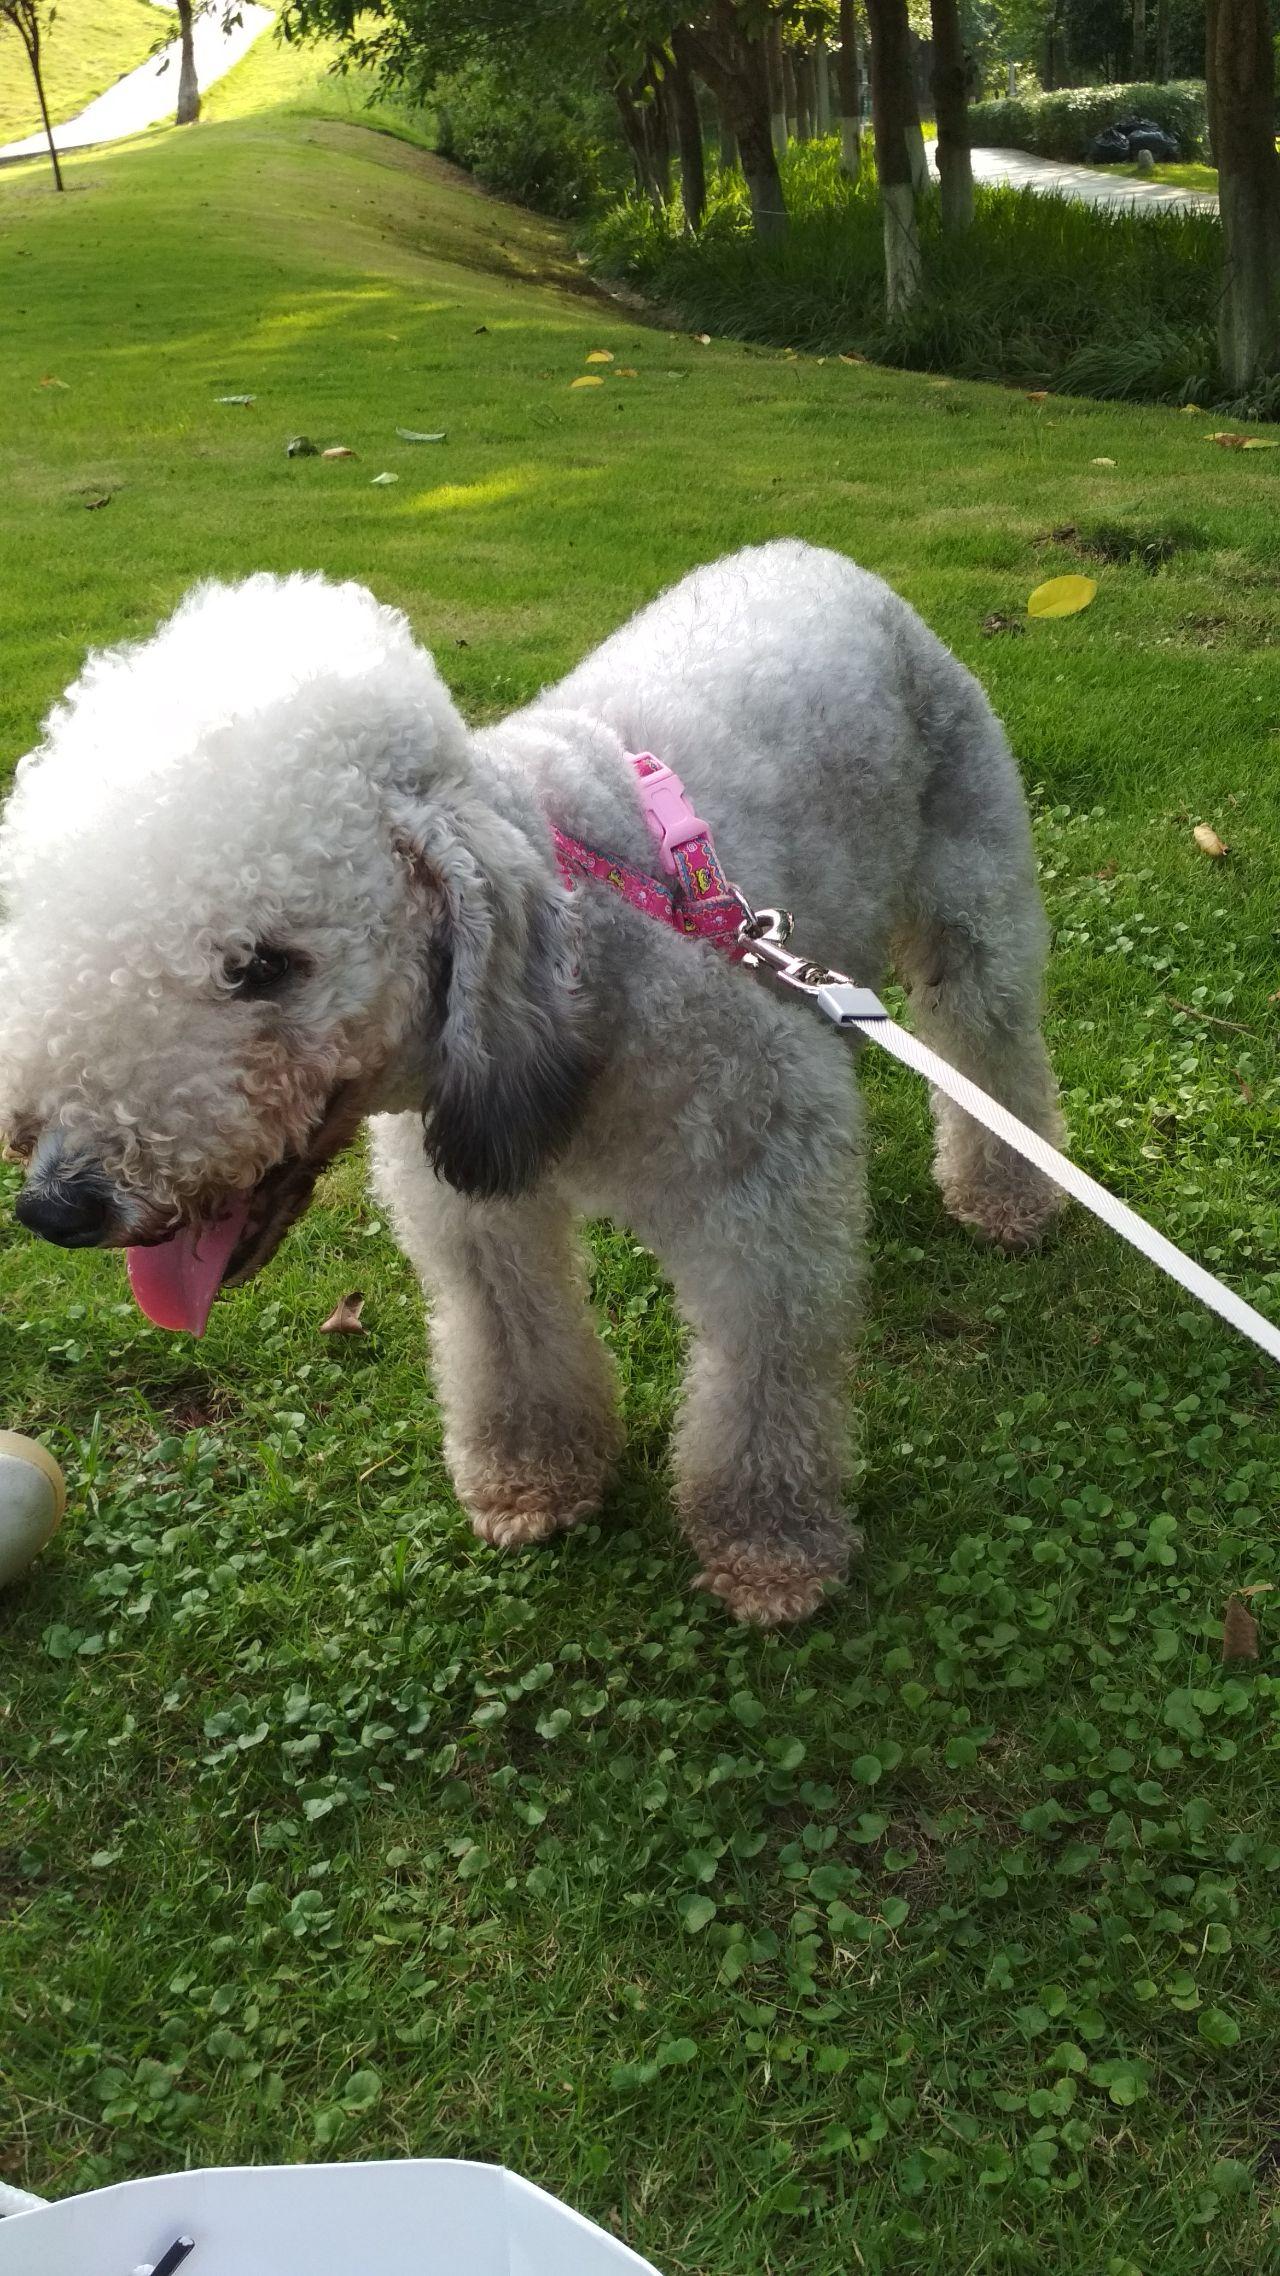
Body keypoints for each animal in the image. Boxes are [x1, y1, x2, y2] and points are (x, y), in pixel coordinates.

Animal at [0, 541, 1056, 1629]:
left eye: (262, 964)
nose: (55, 1203)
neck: (579, 970)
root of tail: (812, 555)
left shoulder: (763, 1190)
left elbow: (763, 1374)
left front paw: (771, 1545)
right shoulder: (470, 1210)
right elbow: (509, 1339)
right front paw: (531, 1480)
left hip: (972, 895)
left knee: (993, 1042)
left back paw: (1007, 1195)